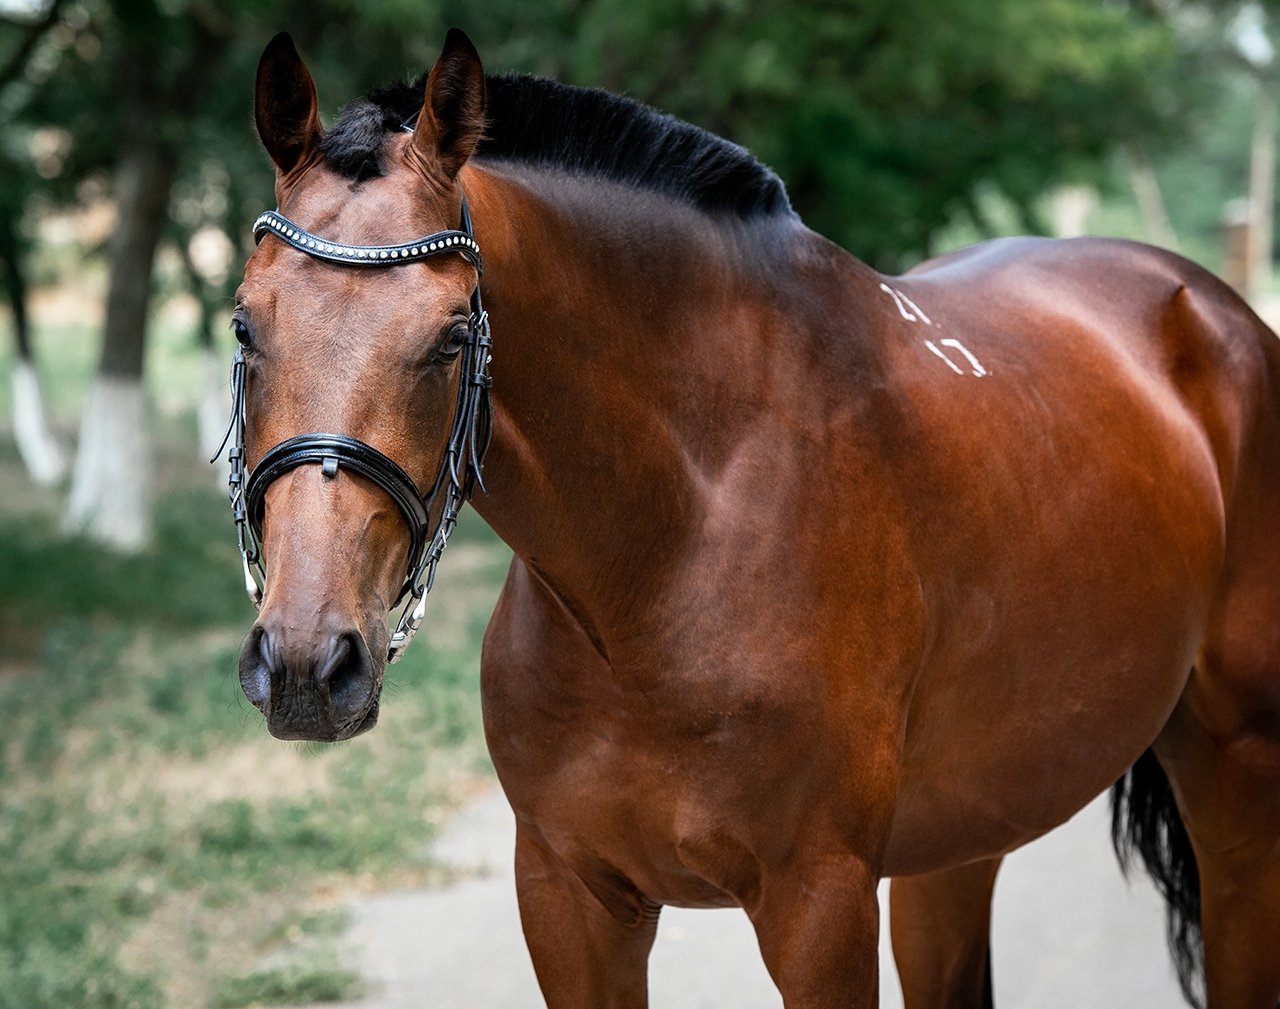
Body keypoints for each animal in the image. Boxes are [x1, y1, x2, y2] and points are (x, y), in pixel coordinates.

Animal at [227, 29, 1280, 1009]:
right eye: (244, 324)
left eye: (452, 337)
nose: (310, 663)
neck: (666, 558)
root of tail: (1212, 307)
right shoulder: (570, 898)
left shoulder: (820, 904)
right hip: (965, 831)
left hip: (1233, 778)